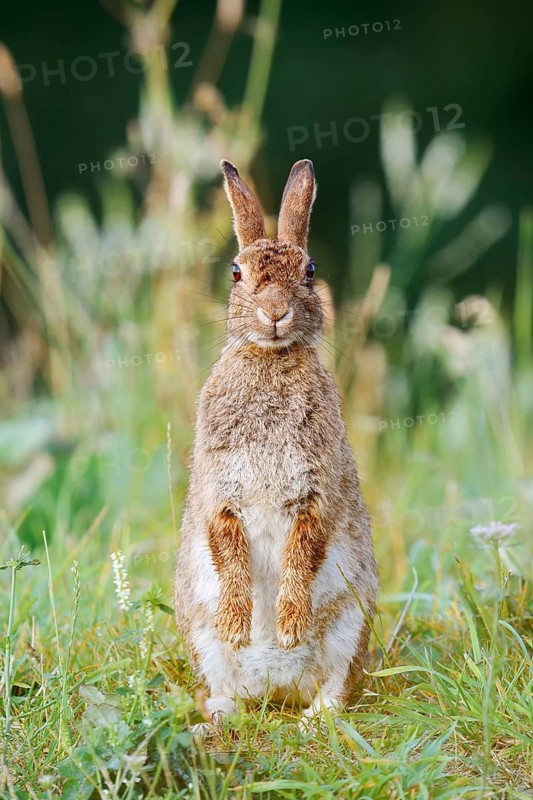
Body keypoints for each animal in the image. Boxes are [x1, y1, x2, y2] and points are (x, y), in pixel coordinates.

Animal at [174, 159, 378, 725]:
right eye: (236, 273)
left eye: (309, 271)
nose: (274, 312)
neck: (270, 360)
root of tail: (277, 689)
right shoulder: (219, 489)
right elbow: (227, 544)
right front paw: (239, 624)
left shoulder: (316, 489)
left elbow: (304, 548)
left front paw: (287, 627)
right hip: (198, 633)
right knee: (225, 687)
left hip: (350, 625)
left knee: (333, 688)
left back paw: (312, 719)